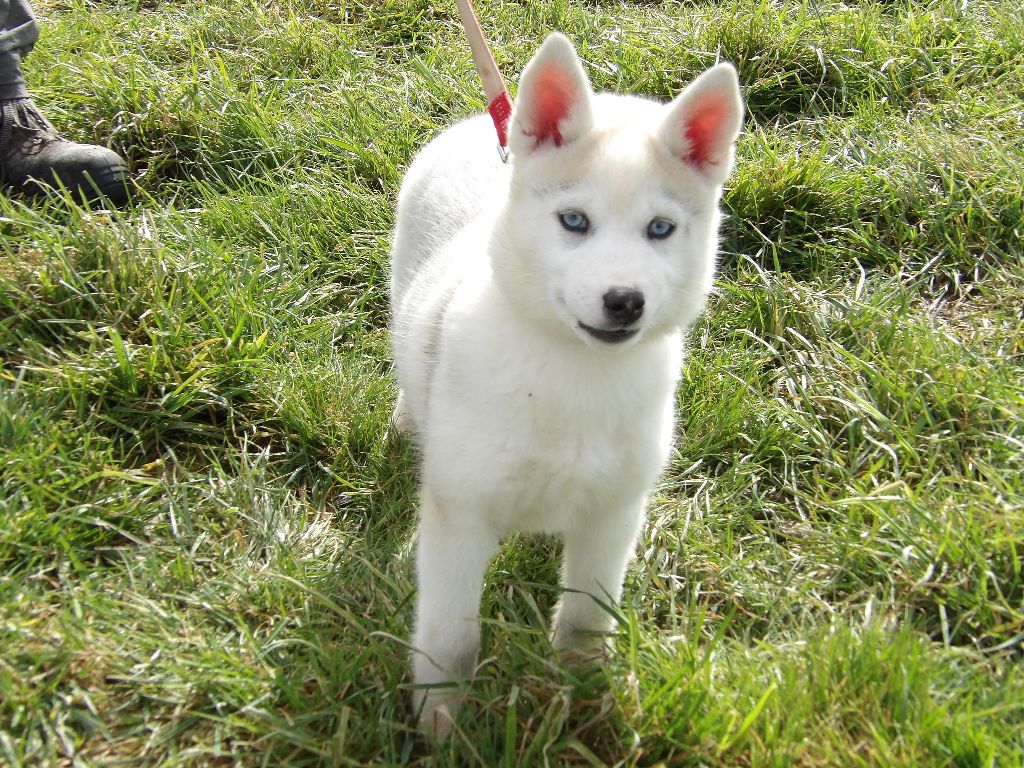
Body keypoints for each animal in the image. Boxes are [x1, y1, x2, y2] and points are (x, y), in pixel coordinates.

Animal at [387, 33, 741, 737]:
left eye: (660, 229)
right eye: (574, 221)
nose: (624, 300)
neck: (574, 374)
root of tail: (483, 128)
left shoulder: (613, 515)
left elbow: (584, 620)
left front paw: (583, 696)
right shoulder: (460, 513)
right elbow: (450, 636)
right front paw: (442, 723)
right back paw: (409, 417)